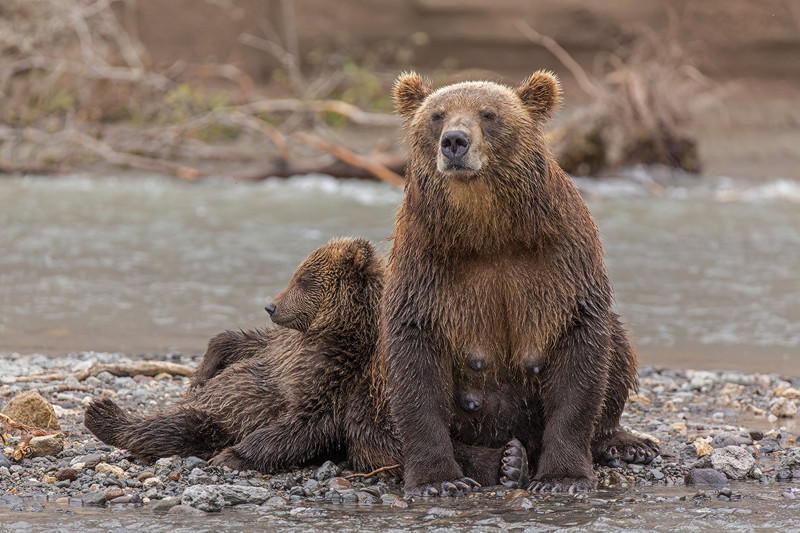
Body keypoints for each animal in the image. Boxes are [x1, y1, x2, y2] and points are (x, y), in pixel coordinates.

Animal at [384, 69, 660, 494]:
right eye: (437, 115)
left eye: (488, 114)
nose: (454, 141)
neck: (489, 228)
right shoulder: (425, 264)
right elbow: (415, 365)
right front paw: (438, 480)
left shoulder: (561, 260)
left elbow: (580, 359)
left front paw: (563, 477)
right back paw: (505, 461)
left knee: (617, 348)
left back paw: (625, 443)